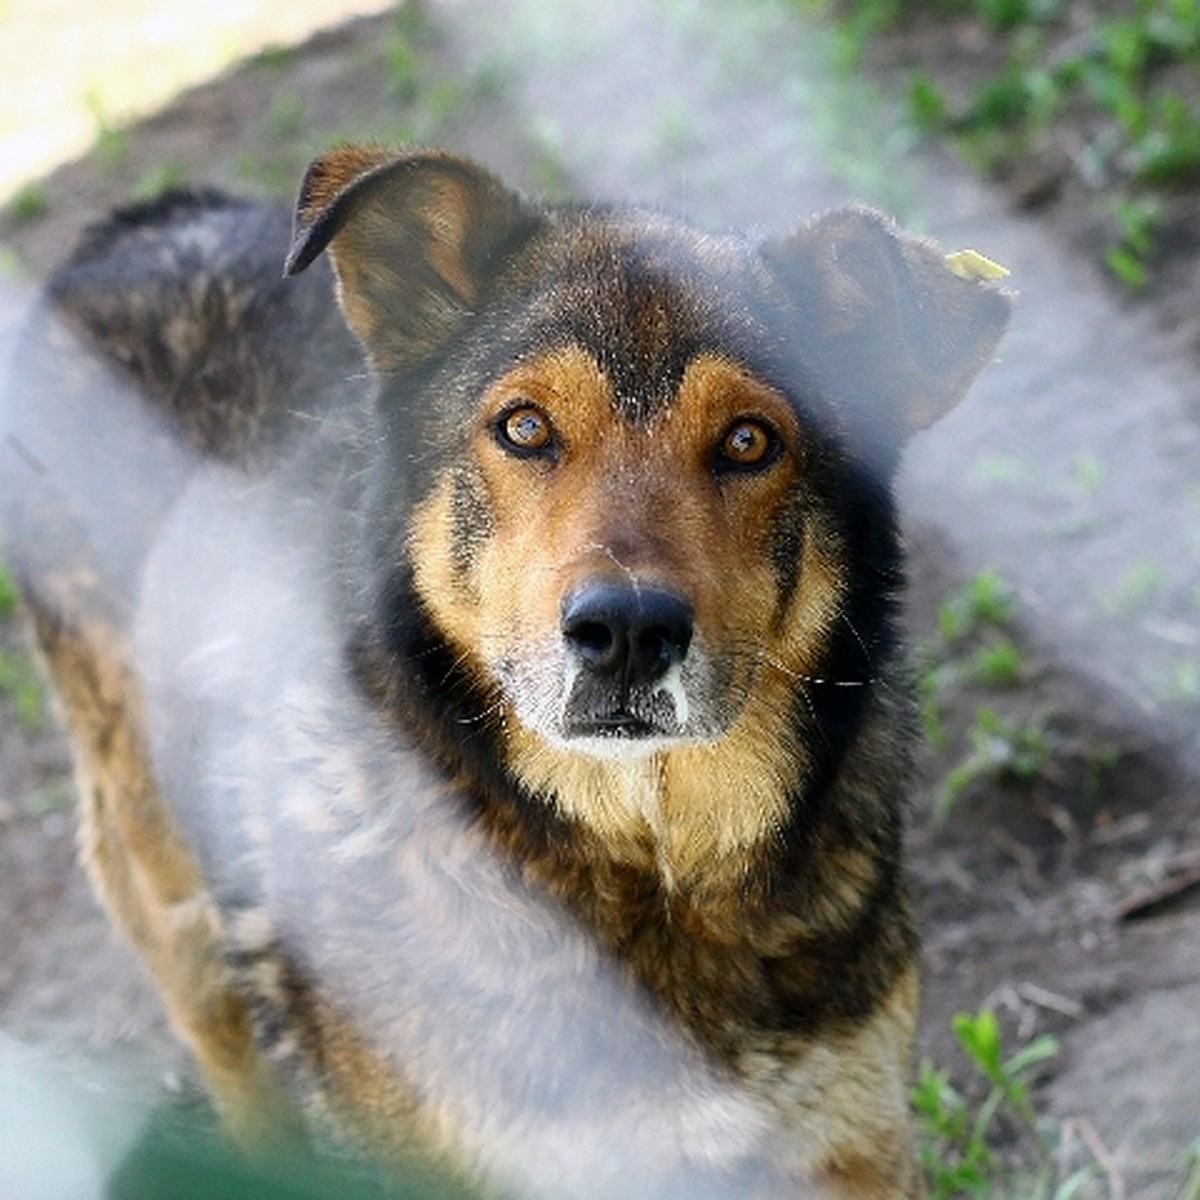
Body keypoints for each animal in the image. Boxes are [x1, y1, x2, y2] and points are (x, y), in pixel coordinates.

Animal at [2, 145, 1012, 1195]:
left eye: (749, 441)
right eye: (525, 427)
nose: (627, 630)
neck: (645, 869)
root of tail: (145, 222)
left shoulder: (854, 1143)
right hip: (170, 893)